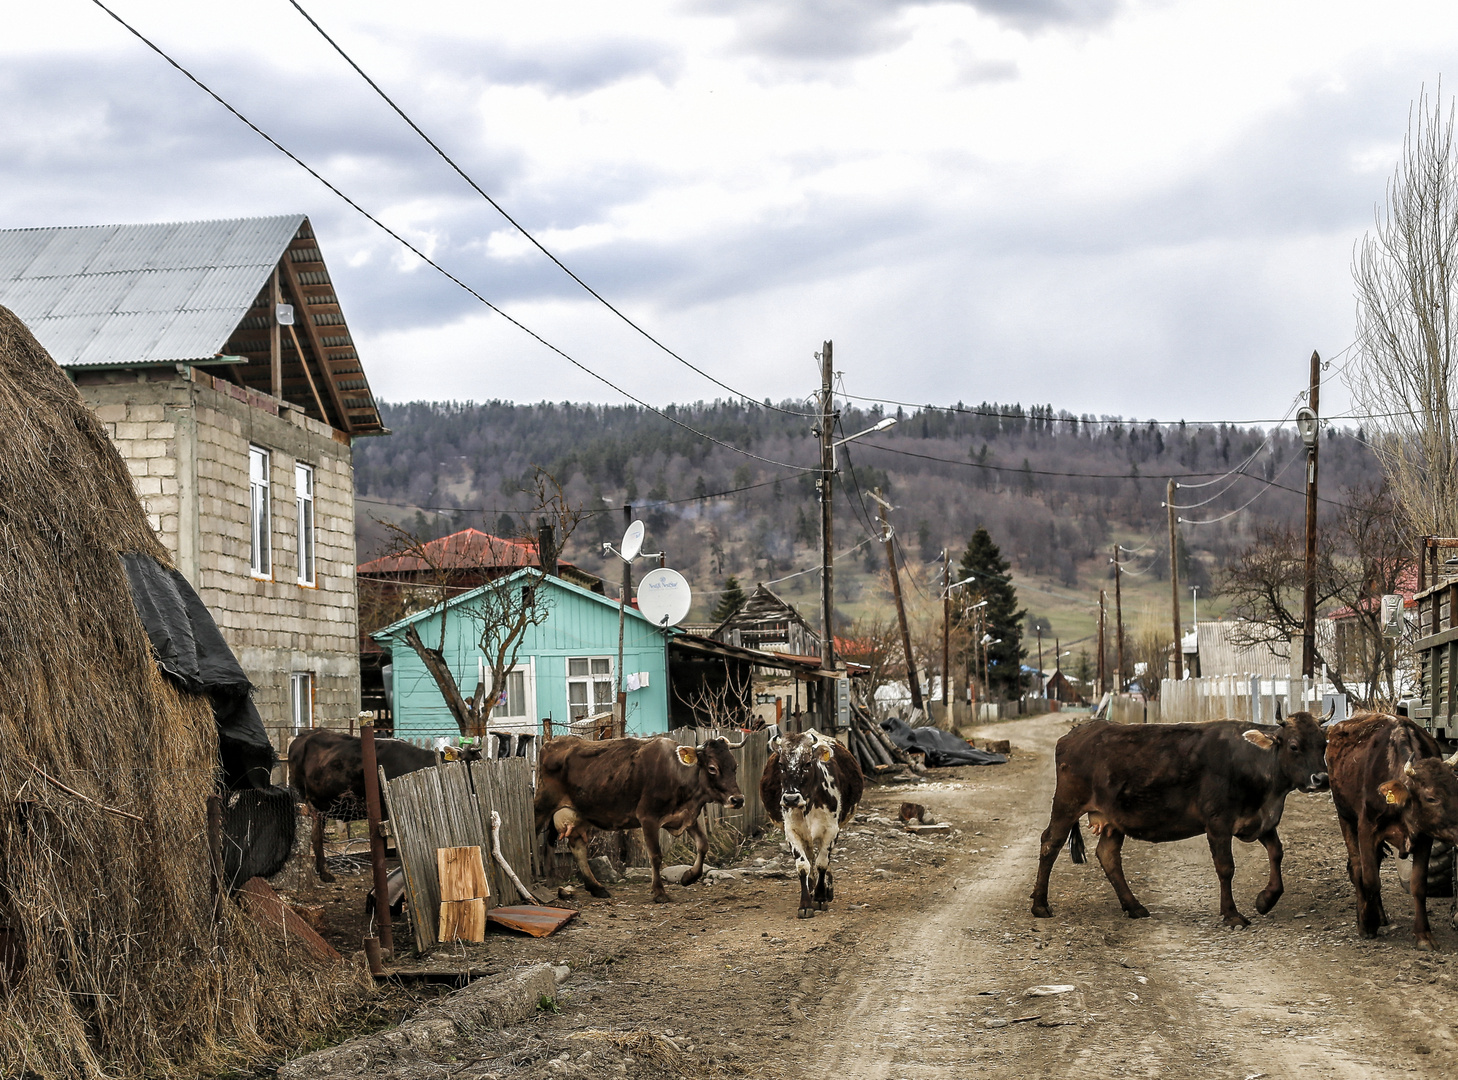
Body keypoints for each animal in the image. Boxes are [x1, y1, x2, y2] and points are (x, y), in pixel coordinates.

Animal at [288, 728, 478, 880]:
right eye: (468, 764)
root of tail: (304, 735)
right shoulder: (387, 812)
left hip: (320, 805)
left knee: (316, 834)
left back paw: (323, 872)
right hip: (301, 797)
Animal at [530, 731, 746, 903]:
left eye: (735, 766)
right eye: (712, 768)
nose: (737, 799)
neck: (677, 773)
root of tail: (551, 743)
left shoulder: (686, 817)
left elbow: (703, 845)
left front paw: (689, 877)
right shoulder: (648, 818)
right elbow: (656, 856)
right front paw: (659, 892)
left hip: (580, 813)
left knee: (578, 847)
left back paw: (596, 887)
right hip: (542, 805)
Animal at [758, 728, 857, 915]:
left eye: (807, 763)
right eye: (781, 764)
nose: (791, 799)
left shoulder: (831, 830)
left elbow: (822, 863)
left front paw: (820, 897)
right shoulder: (791, 831)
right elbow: (803, 865)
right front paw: (805, 903)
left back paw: (826, 890)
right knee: (810, 857)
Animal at [1026, 711, 1335, 921]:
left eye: (1324, 744)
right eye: (1294, 746)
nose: (1321, 779)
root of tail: (1078, 731)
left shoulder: (1260, 822)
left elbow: (1277, 852)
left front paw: (1266, 900)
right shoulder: (1218, 823)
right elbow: (1226, 867)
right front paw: (1232, 914)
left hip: (1113, 818)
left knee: (1108, 855)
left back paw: (1134, 906)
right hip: (1067, 803)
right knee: (1050, 843)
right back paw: (1040, 905)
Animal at [1329, 711, 1458, 950]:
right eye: (1431, 798)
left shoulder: (1424, 837)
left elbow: (1418, 885)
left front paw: (1423, 934)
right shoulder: (1366, 829)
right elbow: (1370, 879)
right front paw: (1368, 924)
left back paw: (1380, 915)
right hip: (1345, 817)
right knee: (1357, 868)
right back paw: (1366, 915)